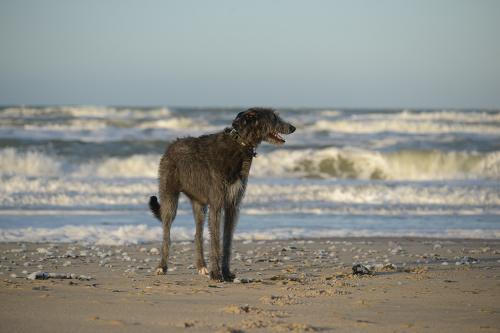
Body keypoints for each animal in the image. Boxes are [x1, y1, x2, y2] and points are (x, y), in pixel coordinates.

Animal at [150, 107, 294, 280]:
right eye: (273, 118)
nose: (293, 127)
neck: (239, 144)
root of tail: (171, 145)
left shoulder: (233, 205)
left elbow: (227, 241)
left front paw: (226, 272)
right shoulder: (217, 204)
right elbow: (215, 240)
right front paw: (216, 273)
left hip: (199, 204)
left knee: (198, 234)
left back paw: (201, 266)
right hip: (169, 197)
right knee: (166, 232)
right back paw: (162, 266)